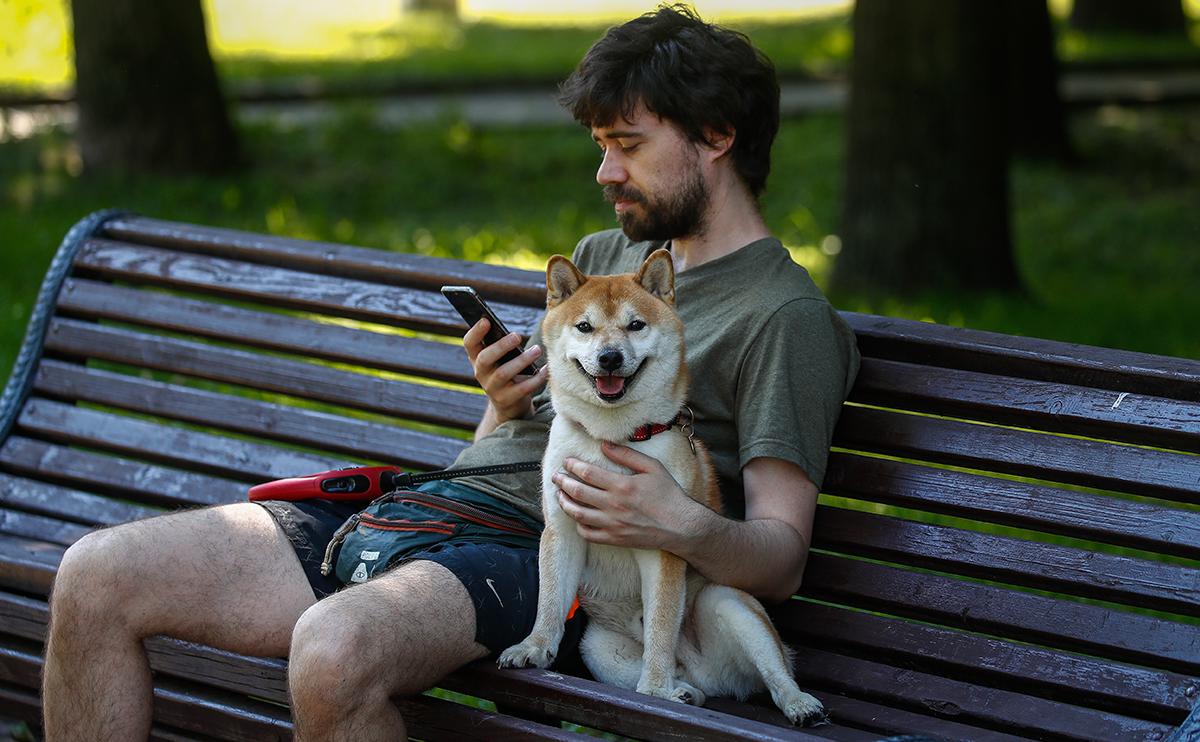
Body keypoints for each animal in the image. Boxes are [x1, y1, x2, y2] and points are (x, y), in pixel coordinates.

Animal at [496, 248, 825, 720]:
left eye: (636, 325)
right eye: (584, 327)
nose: (610, 357)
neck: (613, 438)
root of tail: (708, 676)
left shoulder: (662, 546)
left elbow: (661, 627)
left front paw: (653, 689)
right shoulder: (561, 530)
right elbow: (550, 601)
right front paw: (534, 647)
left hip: (728, 603)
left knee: (776, 672)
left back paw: (793, 703)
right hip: (599, 647)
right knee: (683, 679)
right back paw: (684, 693)